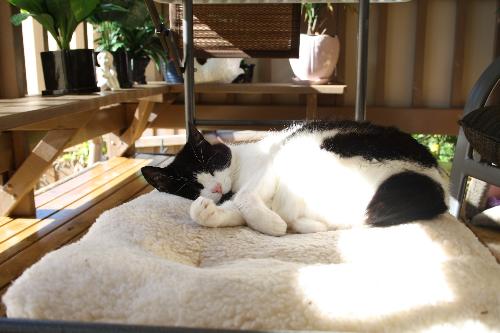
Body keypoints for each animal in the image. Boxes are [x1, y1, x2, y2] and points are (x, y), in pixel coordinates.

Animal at [141, 120, 450, 237]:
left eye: (210, 164)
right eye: (194, 186)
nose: (215, 187)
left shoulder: (266, 172)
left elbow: (245, 198)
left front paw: (271, 225)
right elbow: (228, 209)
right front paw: (207, 210)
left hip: (299, 151)